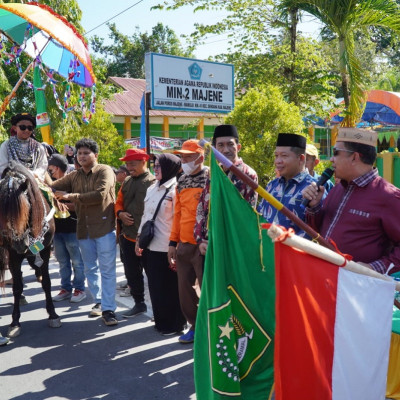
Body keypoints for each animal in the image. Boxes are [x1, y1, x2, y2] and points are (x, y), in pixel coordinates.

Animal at [0, 161, 61, 336]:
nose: (20, 244)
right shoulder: (13, 255)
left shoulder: (45, 250)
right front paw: (14, 321)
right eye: (1, 212)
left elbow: (47, 282)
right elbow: (17, 287)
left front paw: (53, 314)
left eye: (25, 208)